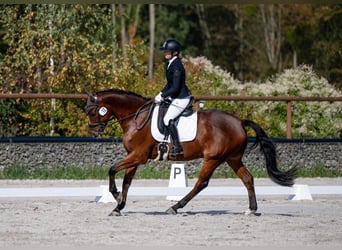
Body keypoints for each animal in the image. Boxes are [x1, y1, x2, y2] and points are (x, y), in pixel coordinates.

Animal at [85, 89, 296, 216]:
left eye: (93, 112)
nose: (94, 133)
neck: (137, 117)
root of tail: (239, 122)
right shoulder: (134, 157)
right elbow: (127, 182)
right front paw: (118, 206)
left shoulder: (138, 156)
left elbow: (112, 169)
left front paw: (115, 196)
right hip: (232, 158)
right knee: (248, 178)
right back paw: (252, 209)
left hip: (213, 158)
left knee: (201, 183)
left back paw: (175, 206)